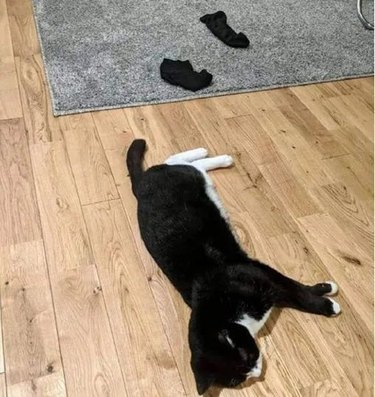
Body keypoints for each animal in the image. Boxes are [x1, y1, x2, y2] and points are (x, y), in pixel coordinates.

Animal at [126, 139, 340, 392]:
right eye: (237, 380)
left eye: (249, 357)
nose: (257, 373)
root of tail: (141, 185)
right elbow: (294, 290)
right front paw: (325, 294)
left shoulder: (262, 275)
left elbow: (297, 292)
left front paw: (328, 302)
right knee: (184, 164)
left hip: (184, 175)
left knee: (175, 160)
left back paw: (213, 155)